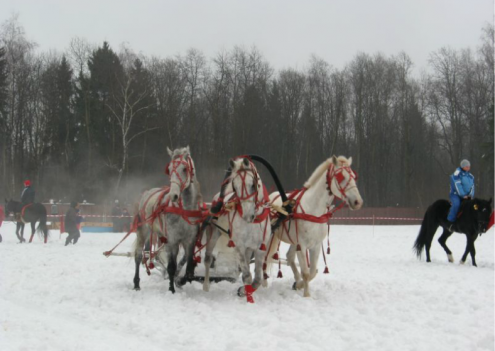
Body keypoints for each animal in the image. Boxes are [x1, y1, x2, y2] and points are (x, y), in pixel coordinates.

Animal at [131, 146, 206, 294]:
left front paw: (180, 281)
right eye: (170, 169)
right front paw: (172, 288)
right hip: (144, 230)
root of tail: (147, 193)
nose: (173, 195)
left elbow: (189, 269)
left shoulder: (190, 240)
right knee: (138, 255)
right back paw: (136, 283)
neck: (184, 210)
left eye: (184, 168)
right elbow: (172, 266)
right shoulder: (173, 240)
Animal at [202, 157, 272, 302]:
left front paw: (244, 291)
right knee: (208, 259)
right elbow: (247, 276)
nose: (247, 215)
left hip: (249, 249)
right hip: (213, 235)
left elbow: (257, 279)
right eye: (235, 186)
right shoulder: (239, 246)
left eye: (253, 185)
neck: (253, 222)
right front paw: (246, 295)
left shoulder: (260, 248)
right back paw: (206, 286)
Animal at [268, 156, 364, 296]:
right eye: (341, 176)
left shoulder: (316, 245)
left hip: (293, 241)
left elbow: (312, 271)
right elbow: (306, 273)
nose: (358, 202)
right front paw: (306, 296)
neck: (313, 210)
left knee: (289, 257)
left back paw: (296, 281)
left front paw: (299, 285)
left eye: (353, 176)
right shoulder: (302, 245)